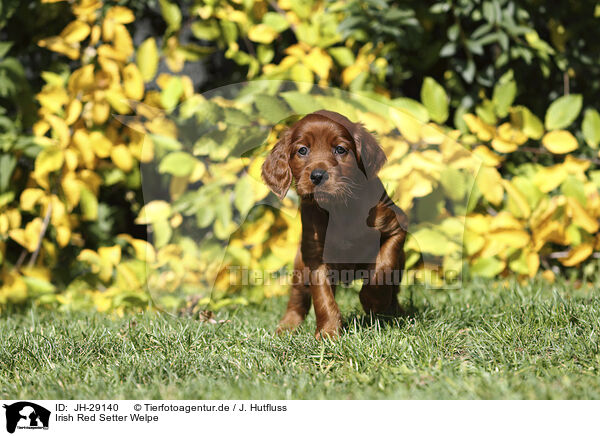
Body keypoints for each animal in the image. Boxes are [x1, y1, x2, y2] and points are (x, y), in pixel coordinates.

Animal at [260, 110, 406, 338]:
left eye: (340, 149)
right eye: (302, 150)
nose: (318, 175)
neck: (340, 208)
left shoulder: (396, 228)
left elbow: (383, 265)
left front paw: (372, 300)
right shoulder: (316, 257)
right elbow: (323, 298)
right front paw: (328, 333)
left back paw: (394, 311)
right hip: (300, 267)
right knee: (297, 299)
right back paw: (286, 327)